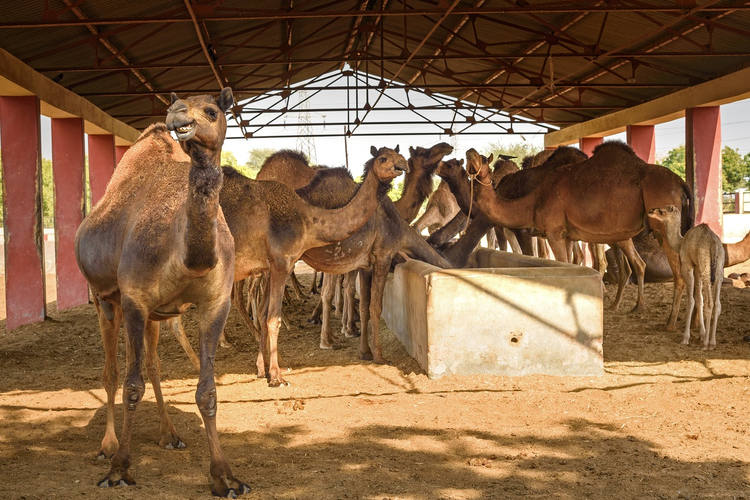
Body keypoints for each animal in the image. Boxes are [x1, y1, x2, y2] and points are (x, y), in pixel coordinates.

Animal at [75, 90, 248, 496]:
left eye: (212, 110)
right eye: (177, 105)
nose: (178, 117)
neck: (185, 255)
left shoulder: (215, 303)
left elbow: (206, 391)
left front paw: (225, 477)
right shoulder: (135, 299)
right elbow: (130, 385)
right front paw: (119, 469)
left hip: (154, 314)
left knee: (152, 364)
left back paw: (169, 434)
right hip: (105, 300)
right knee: (111, 370)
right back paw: (108, 445)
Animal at [465, 142, 693, 326]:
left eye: (484, 159)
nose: (470, 152)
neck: (534, 199)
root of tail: (681, 183)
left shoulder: (554, 233)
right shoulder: (568, 236)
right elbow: (572, 263)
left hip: (662, 225)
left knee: (677, 270)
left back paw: (671, 322)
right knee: (642, 264)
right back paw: (636, 307)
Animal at [647, 206, 724, 348]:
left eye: (662, 211)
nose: (650, 211)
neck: (680, 243)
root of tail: (713, 243)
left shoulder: (687, 265)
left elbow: (691, 300)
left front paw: (686, 338)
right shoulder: (697, 267)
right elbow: (699, 299)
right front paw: (702, 334)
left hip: (705, 265)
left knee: (710, 302)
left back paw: (706, 344)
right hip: (718, 268)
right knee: (717, 303)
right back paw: (712, 342)